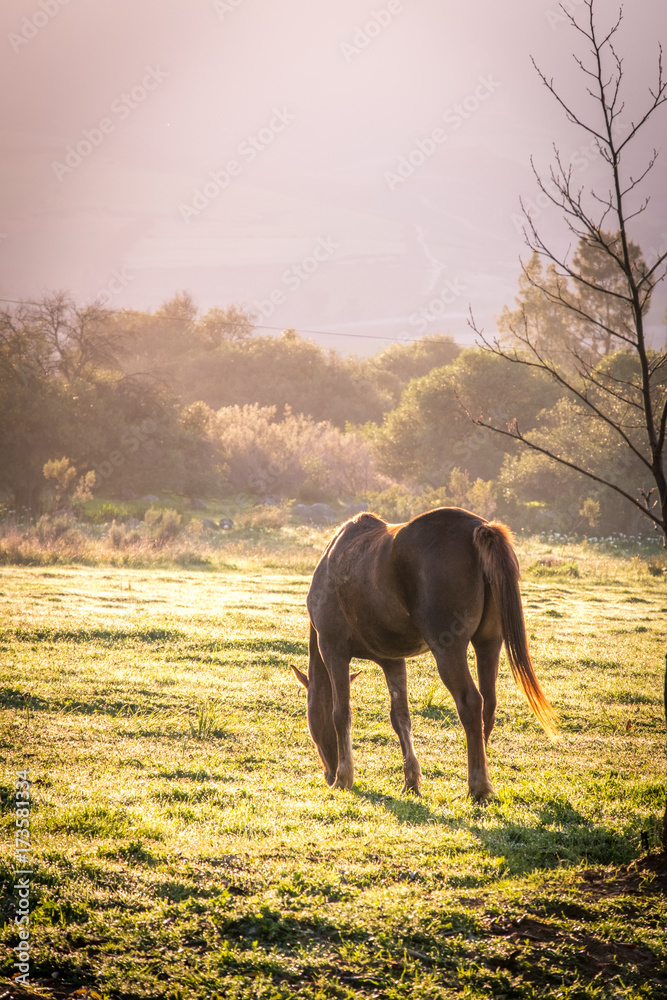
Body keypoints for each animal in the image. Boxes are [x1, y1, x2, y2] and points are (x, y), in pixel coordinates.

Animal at [292, 507, 557, 801]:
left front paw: (344, 778)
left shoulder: (333, 651)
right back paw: (483, 773)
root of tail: (478, 529)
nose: (328, 775)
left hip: (449, 652)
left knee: (471, 702)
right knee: (488, 703)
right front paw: (411, 781)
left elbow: (341, 713)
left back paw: (477, 786)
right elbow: (400, 718)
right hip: (489, 643)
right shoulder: (393, 661)